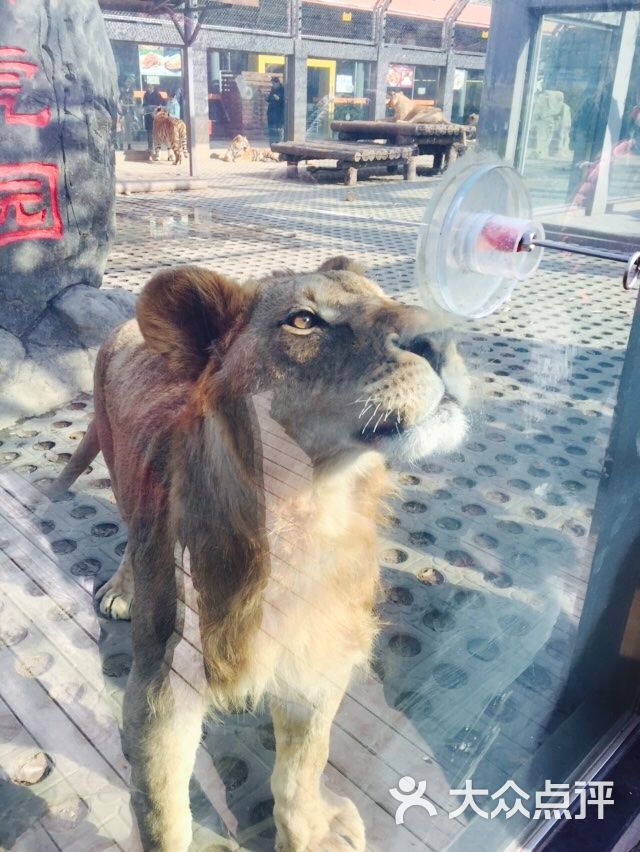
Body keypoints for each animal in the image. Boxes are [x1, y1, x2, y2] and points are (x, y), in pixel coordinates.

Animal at [47, 260, 468, 852]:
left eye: (386, 296)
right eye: (304, 320)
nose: (445, 337)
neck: (307, 508)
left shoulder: (320, 654)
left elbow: (303, 765)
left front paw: (311, 832)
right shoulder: (162, 690)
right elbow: (164, 812)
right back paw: (121, 590)